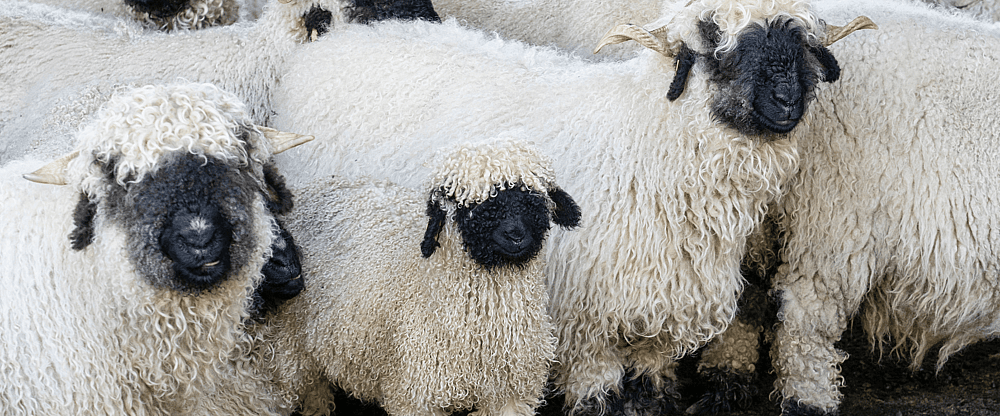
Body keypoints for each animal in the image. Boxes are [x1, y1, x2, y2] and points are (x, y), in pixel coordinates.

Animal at [253, 139, 582, 416]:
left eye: (535, 196)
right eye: (468, 204)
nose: (515, 235)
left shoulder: (510, 394)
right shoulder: (417, 393)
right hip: (288, 349)